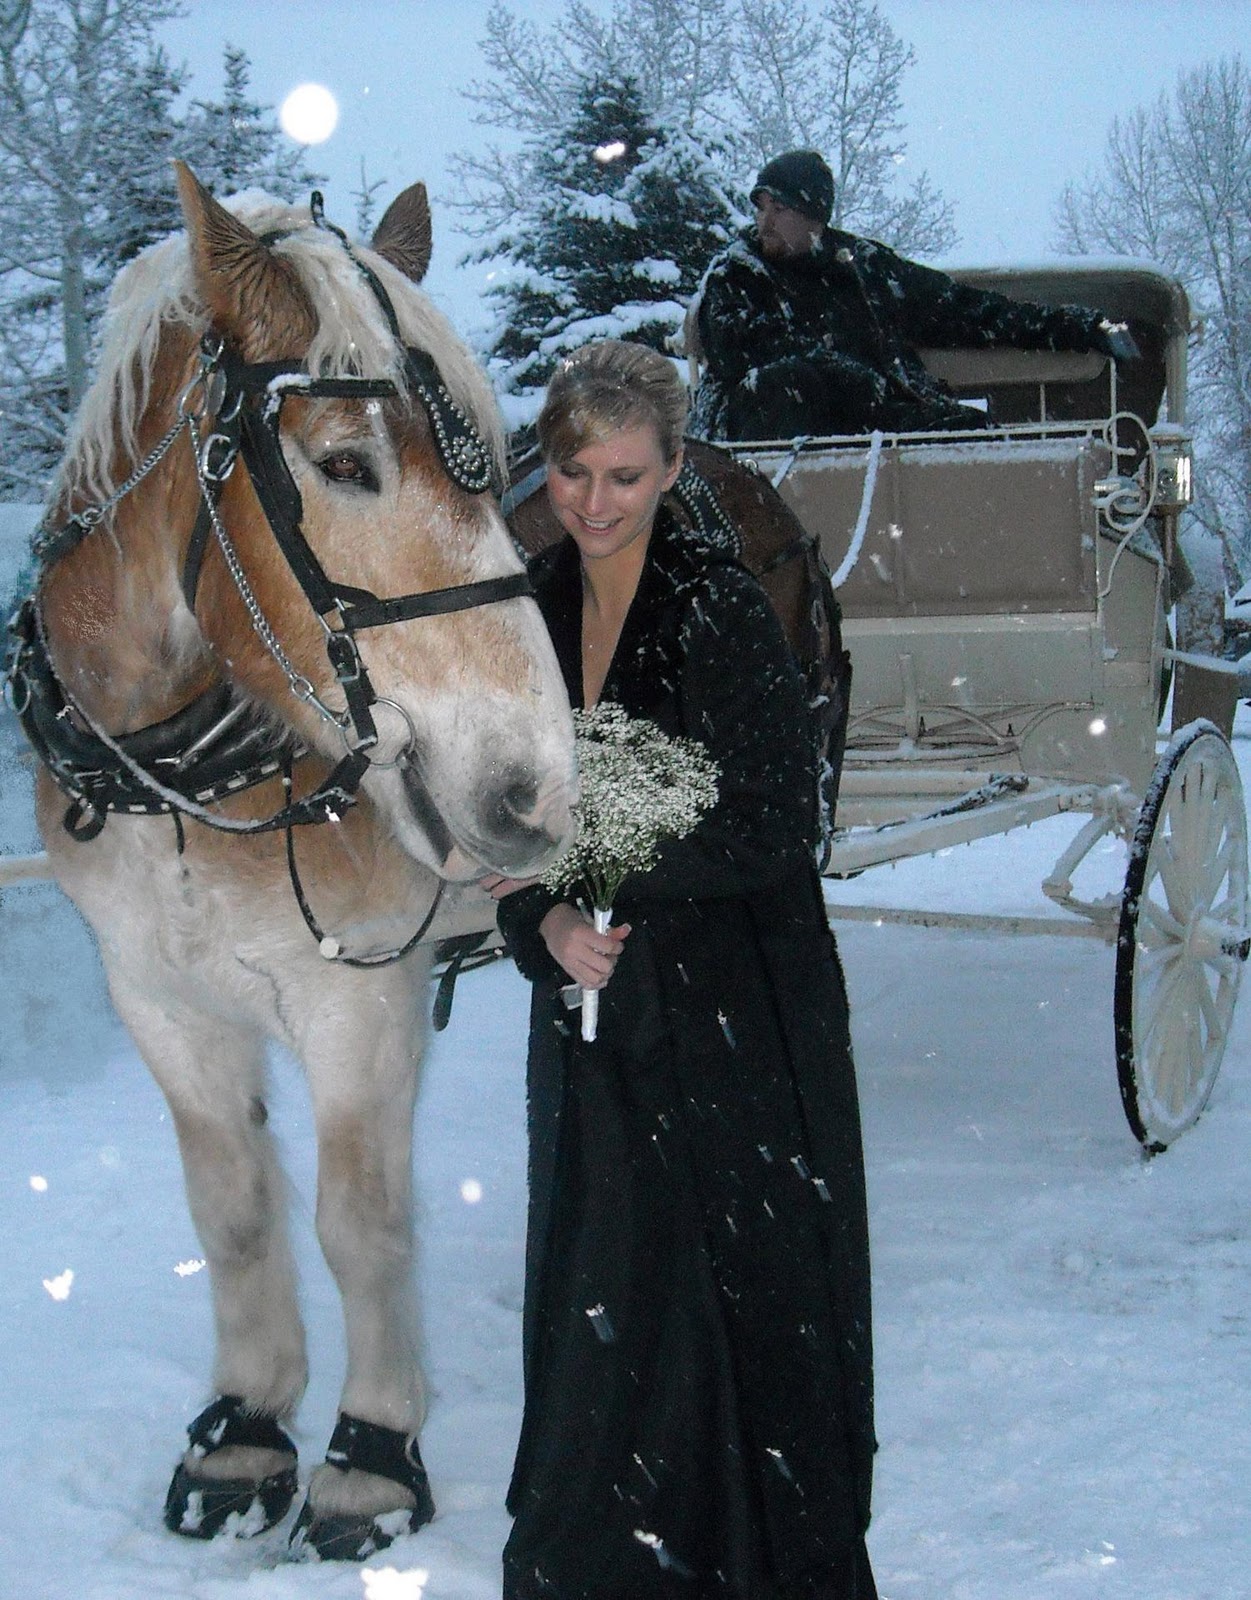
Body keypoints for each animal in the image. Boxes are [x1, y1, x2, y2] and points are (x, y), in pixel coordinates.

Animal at [6, 168, 579, 1555]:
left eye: (490, 468)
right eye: (343, 464)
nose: (536, 789)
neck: (186, 782)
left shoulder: (357, 998)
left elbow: (359, 1221)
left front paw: (370, 1456)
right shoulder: (158, 1000)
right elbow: (236, 1209)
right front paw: (246, 1430)